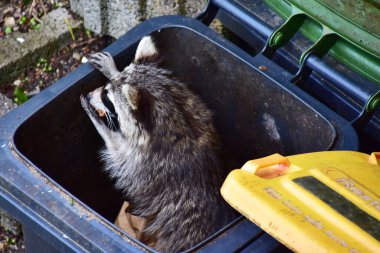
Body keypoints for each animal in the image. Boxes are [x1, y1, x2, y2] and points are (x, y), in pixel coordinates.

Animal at [80, 36, 236, 252]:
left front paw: (100, 123)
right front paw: (113, 70)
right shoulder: (196, 107)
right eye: (106, 88)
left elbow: (117, 154)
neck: (175, 109)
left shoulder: (146, 165)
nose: (91, 95)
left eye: (106, 96)